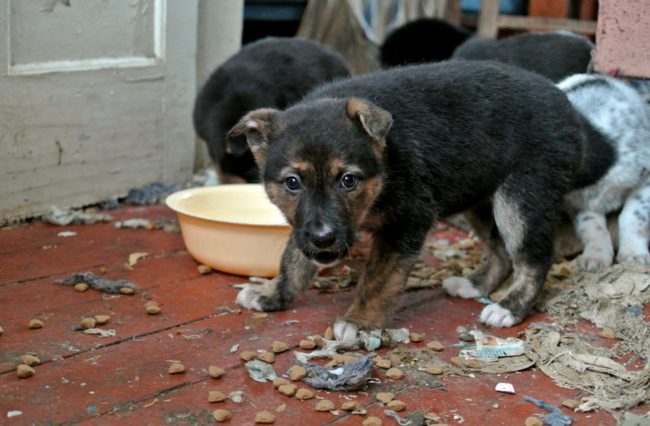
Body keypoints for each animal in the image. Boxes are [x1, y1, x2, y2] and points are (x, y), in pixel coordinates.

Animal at [227, 60, 604, 342]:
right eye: (292, 183)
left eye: (348, 181)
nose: (324, 239)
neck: (384, 165)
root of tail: (570, 110)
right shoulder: (305, 224)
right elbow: (293, 258)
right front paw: (273, 294)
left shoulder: (407, 220)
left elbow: (379, 278)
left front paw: (360, 321)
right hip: (480, 196)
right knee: (500, 251)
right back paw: (474, 284)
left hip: (521, 197)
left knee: (533, 257)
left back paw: (510, 308)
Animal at [556, 73, 648, 272]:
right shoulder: (579, 203)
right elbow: (591, 226)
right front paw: (595, 256)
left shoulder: (646, 180)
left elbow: (634, 215)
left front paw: (634, 253)